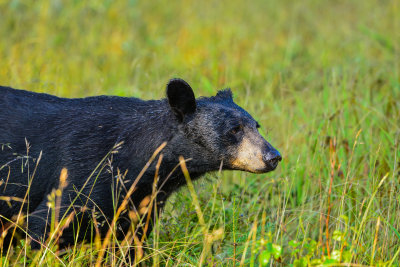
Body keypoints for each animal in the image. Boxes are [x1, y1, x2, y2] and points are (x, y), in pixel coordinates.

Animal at [0, 79, 282, 258]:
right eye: (234, 129)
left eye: (256, 125)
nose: (273, 156)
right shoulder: (83, 172)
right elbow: (46, 226)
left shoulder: (142, 200)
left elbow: (129, 243)